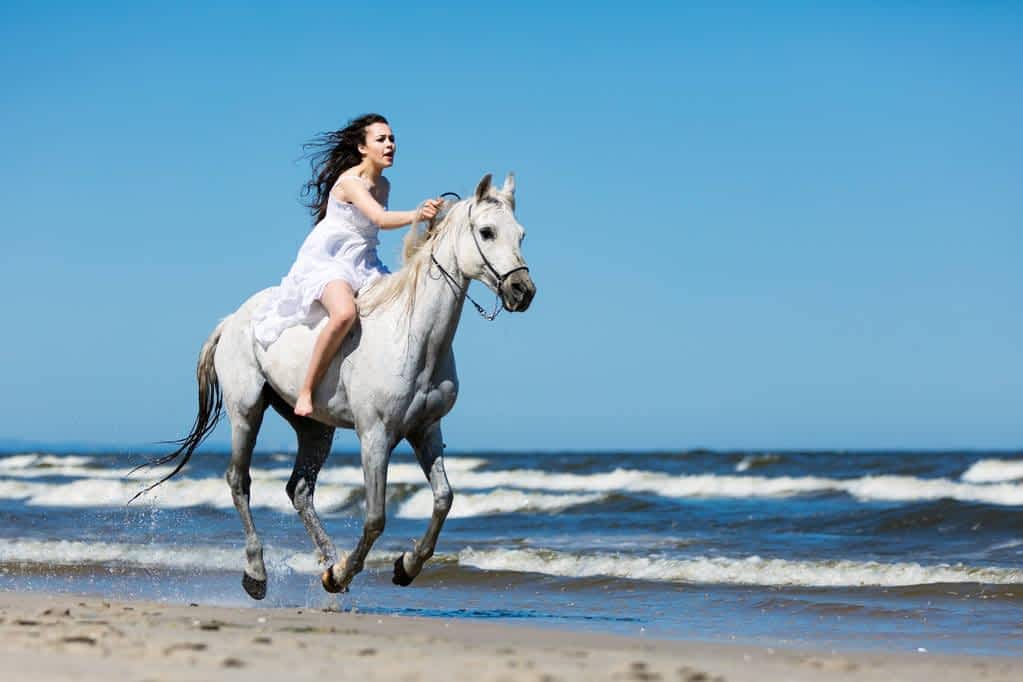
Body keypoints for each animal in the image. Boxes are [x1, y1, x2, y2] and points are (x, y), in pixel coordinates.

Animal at [143, 173, 535, 599]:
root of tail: (231, 320)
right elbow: (376, 516)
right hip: (246, 412)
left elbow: (444, 499)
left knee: (299, 490)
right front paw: (352, 571)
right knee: (239, 481)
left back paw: (329, 563)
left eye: (521, 234)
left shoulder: (426, 430)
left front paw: (404, 567)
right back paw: (258, 573)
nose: (523, 291)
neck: (413, 336)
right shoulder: (376, 435)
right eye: (487, 232)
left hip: (316, 428)